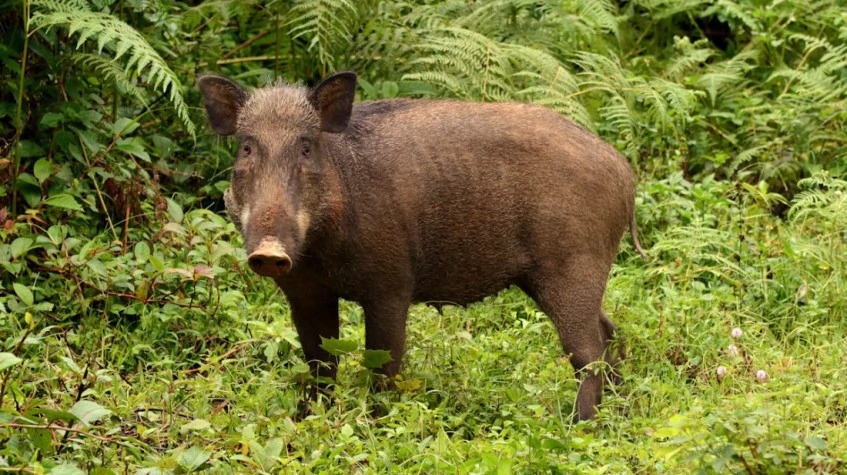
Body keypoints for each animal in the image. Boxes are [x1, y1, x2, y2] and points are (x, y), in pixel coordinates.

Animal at [198, 72, 646, 421]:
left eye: (306, 147)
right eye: (246, 147)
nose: (269, 251)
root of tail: (623, 170)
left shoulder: (391, 287)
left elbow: (383, 364)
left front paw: (376, 425)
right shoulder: (305, 293)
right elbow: (320, 363)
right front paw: (308, 420)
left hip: (572, 267)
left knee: (587, 350)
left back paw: (580, 426)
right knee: (608, 332)